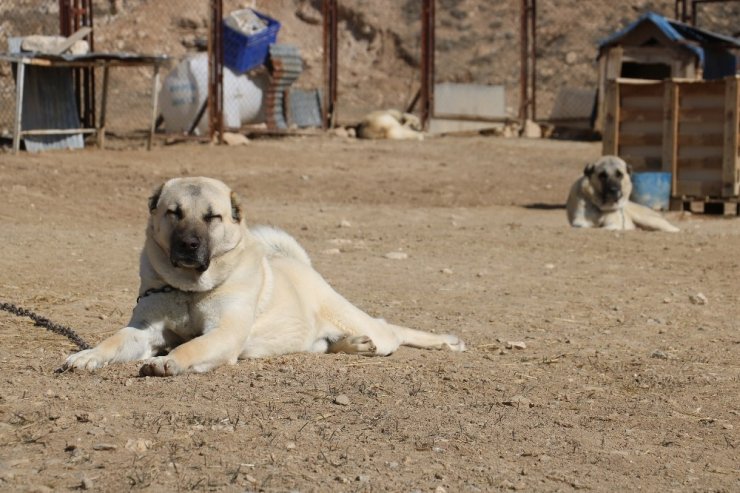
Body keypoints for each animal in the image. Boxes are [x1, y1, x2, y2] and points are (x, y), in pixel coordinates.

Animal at [63, 176, 462, 372]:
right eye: (173, 212)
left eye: (212, 217)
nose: (189, 245)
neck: (190, 289)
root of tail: (303, 267)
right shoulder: (143, 331)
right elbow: (114, 341)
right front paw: (88, 356)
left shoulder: (225, 332)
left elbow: (192, 345)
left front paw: (167, 361)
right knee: (327, 344)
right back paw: (353, 345)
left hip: (356, 318)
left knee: (390, 329)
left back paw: (444, 341)